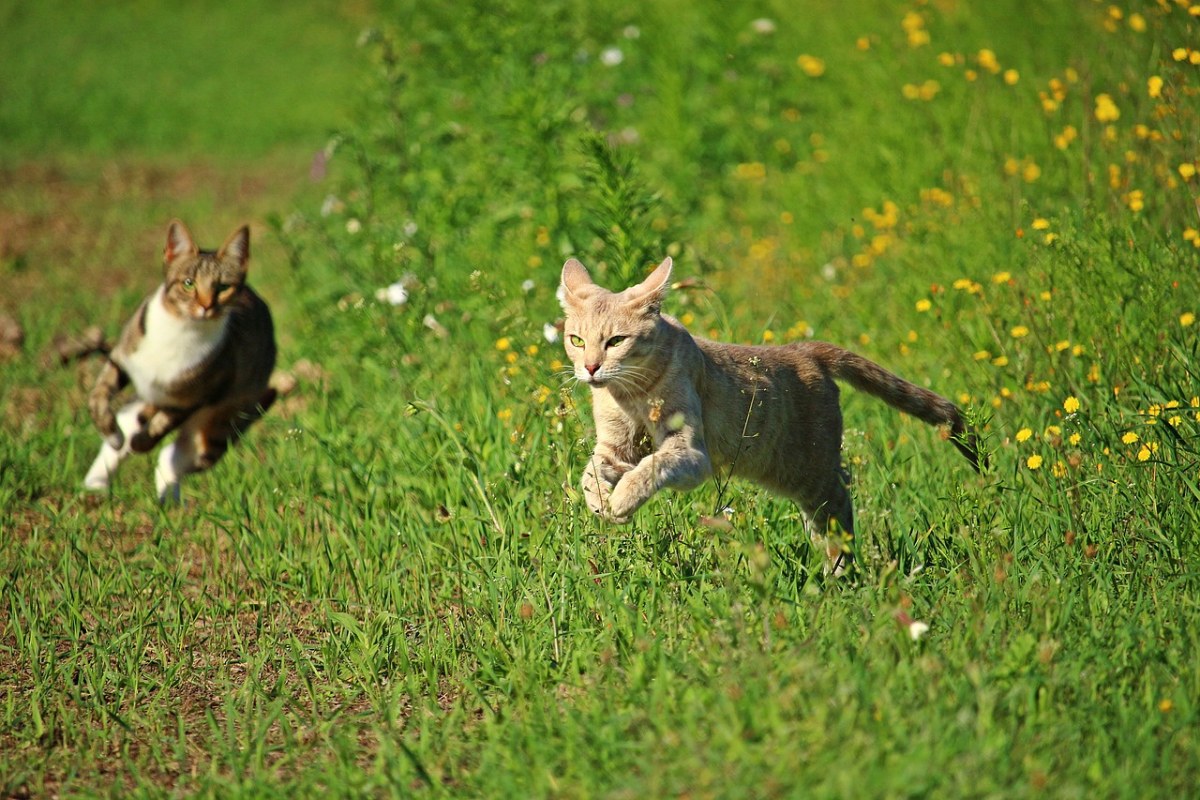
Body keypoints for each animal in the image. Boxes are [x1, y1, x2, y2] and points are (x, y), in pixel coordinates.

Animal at [84, 219, 276, 503]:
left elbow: (160, 427)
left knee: (175, 455)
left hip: (221, 424)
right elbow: (98, 396)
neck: (181, 329)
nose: (206, 306)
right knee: (132, 421)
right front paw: (113, 435)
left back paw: (168, 499)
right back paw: (96, 481)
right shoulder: (122, 359)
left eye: (222, 287)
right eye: (188, 283)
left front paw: (139, 442)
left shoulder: (194, 398)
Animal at [556, 256, 979, 575]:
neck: (627, 394)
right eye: (576, 340)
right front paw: (599, 502)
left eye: (616, 341)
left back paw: (839, 575)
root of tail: (803, 349)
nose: (590, 368)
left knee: (840, 507)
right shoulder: (614, 447)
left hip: (810, 472)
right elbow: (591, 471)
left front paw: (622, 500)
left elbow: (651, 467)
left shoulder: (691, 453)